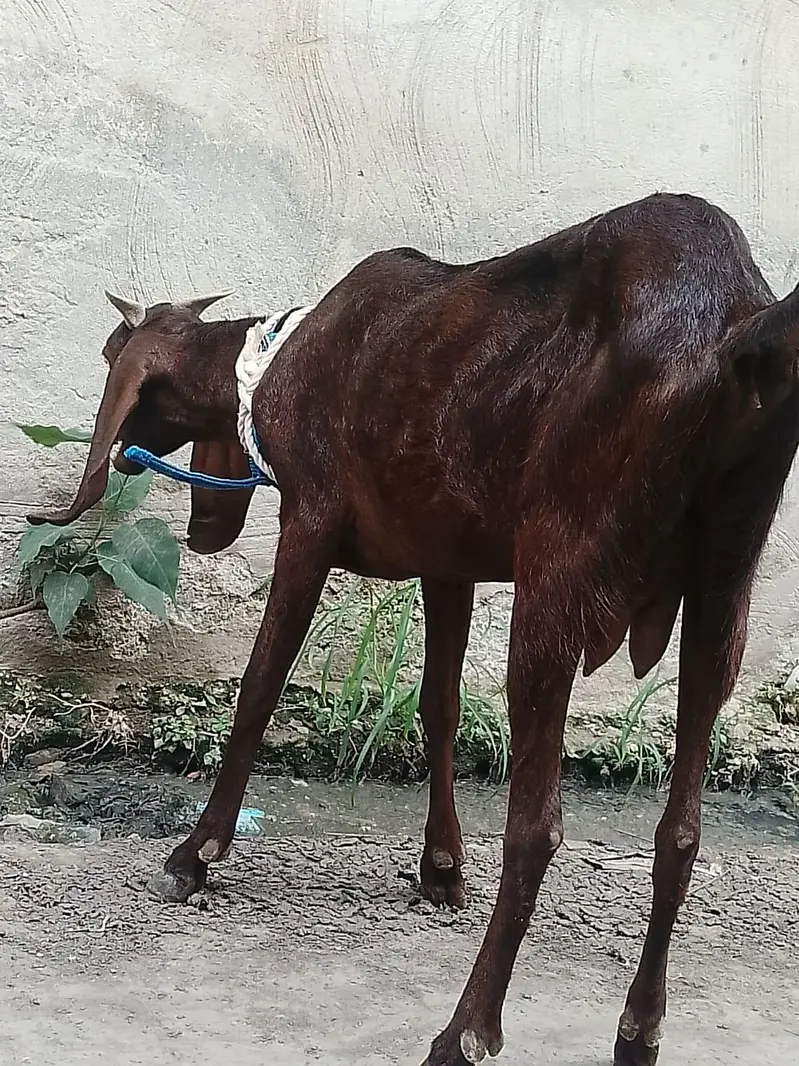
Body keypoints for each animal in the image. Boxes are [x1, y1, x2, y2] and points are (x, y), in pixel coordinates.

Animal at [30, 192, 799, 1066]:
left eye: (110, 354)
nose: (123, 457)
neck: (276, 358)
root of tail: (737, 328)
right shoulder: (447, 558)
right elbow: (438, 706)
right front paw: (440, 868)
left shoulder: (310, 520)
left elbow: (260, 686)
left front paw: (197, 854)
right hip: (721, 596)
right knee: (679, 831)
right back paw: (638, 1030)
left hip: (556, 579)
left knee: (537, 828)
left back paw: (467, 1029)